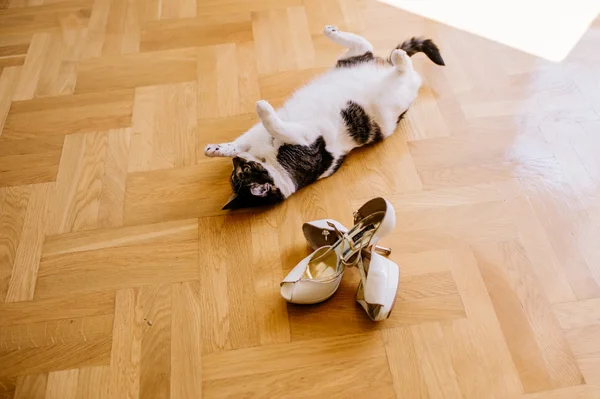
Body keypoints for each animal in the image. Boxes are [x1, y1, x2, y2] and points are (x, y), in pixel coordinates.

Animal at [204, 26, 442, 211]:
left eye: (242, 169)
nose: (236, 161)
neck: (269, 157)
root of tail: (386, 67)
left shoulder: (299, 138)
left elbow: (262, 130)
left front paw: (218, 148)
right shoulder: (294, 138)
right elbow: (261, 132)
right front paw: (224, 148)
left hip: (357, 68)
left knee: (366, 46)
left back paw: (336, 33)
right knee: (396, 65)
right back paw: (397, 57)